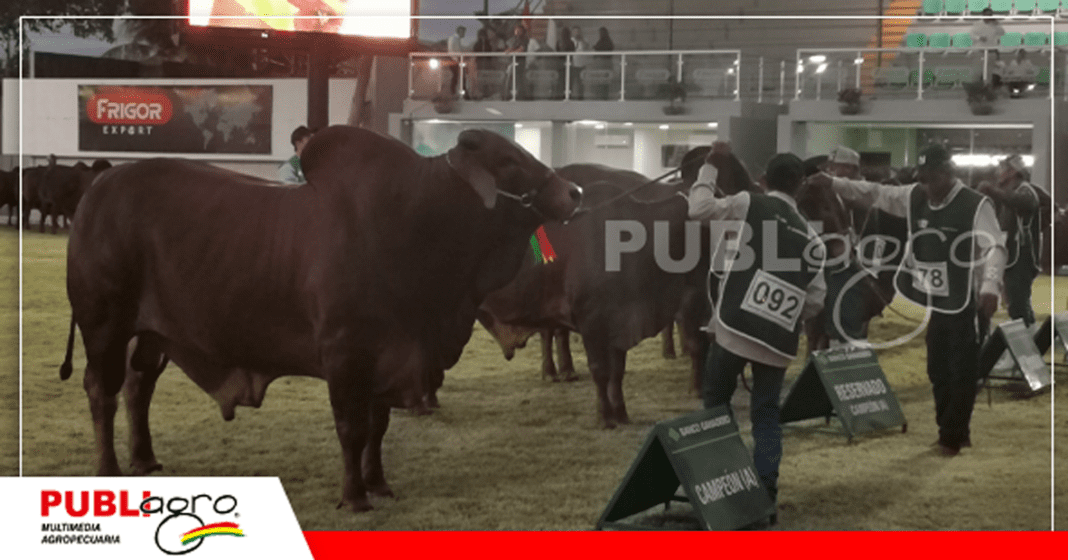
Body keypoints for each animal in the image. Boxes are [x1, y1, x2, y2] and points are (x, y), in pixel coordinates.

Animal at [59, 126, 582, 512]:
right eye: (510, 161)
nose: (574, 192)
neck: (416, 221)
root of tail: (96, 190)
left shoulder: (390, 356)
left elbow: (377, 427)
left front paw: (378, 483)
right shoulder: (345, 353)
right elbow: (351, 428)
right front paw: (354, 496)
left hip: (151, 336)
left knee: (137, 387)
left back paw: (144, 459)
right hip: (104, 326)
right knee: (101, 391)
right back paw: (108, 469)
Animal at [476, 149, 754, 428]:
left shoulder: (622, 321)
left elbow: (617, 371)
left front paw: (620, 411)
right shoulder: (593, 322)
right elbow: (601, 370)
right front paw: (604, 416)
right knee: (551, 334)